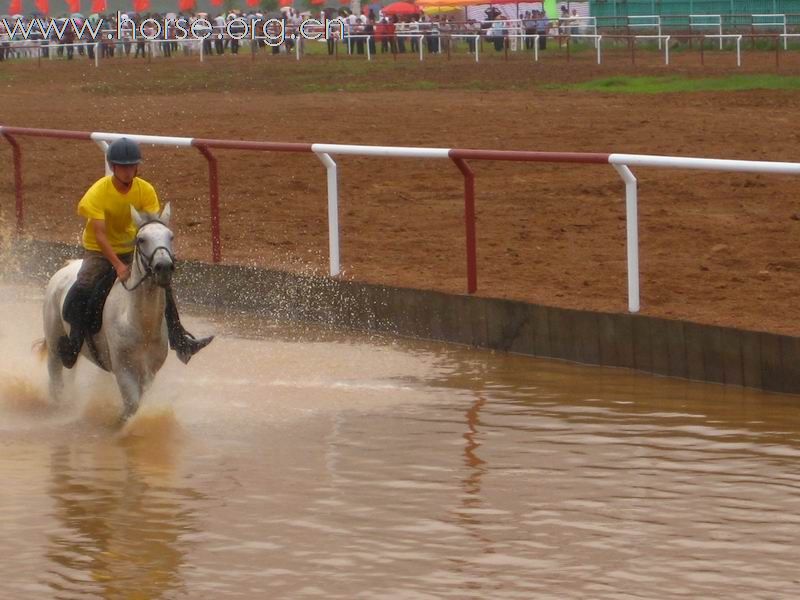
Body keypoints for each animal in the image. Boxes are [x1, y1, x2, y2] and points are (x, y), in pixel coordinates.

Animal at [42, 203, 177, 422]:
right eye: (141, 239)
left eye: (170, 236)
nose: (163, 267)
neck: (140, 323)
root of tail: (64, 268)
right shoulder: (123, 369)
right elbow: (132, 404)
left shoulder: (149, 372)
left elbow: (137, 403)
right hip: (54, 345)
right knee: (56, 379)